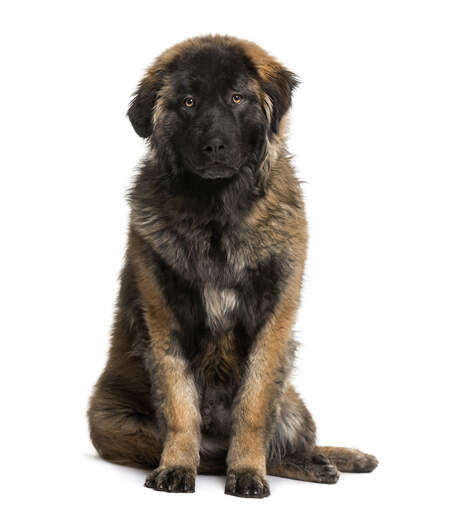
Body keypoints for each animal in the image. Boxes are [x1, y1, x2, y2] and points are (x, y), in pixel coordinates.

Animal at [87, 35, 378, 496]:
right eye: (188, 102)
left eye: (237, 98)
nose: (214, 146)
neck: (217, 215)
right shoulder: (166, 320)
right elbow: (180, 407)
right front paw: (176, 468)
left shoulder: (272, 321)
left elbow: (254, 408)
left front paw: (247, 471)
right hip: (111, 423)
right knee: (211, 455)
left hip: (293, 403)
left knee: (283, 446)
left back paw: (324, 462)